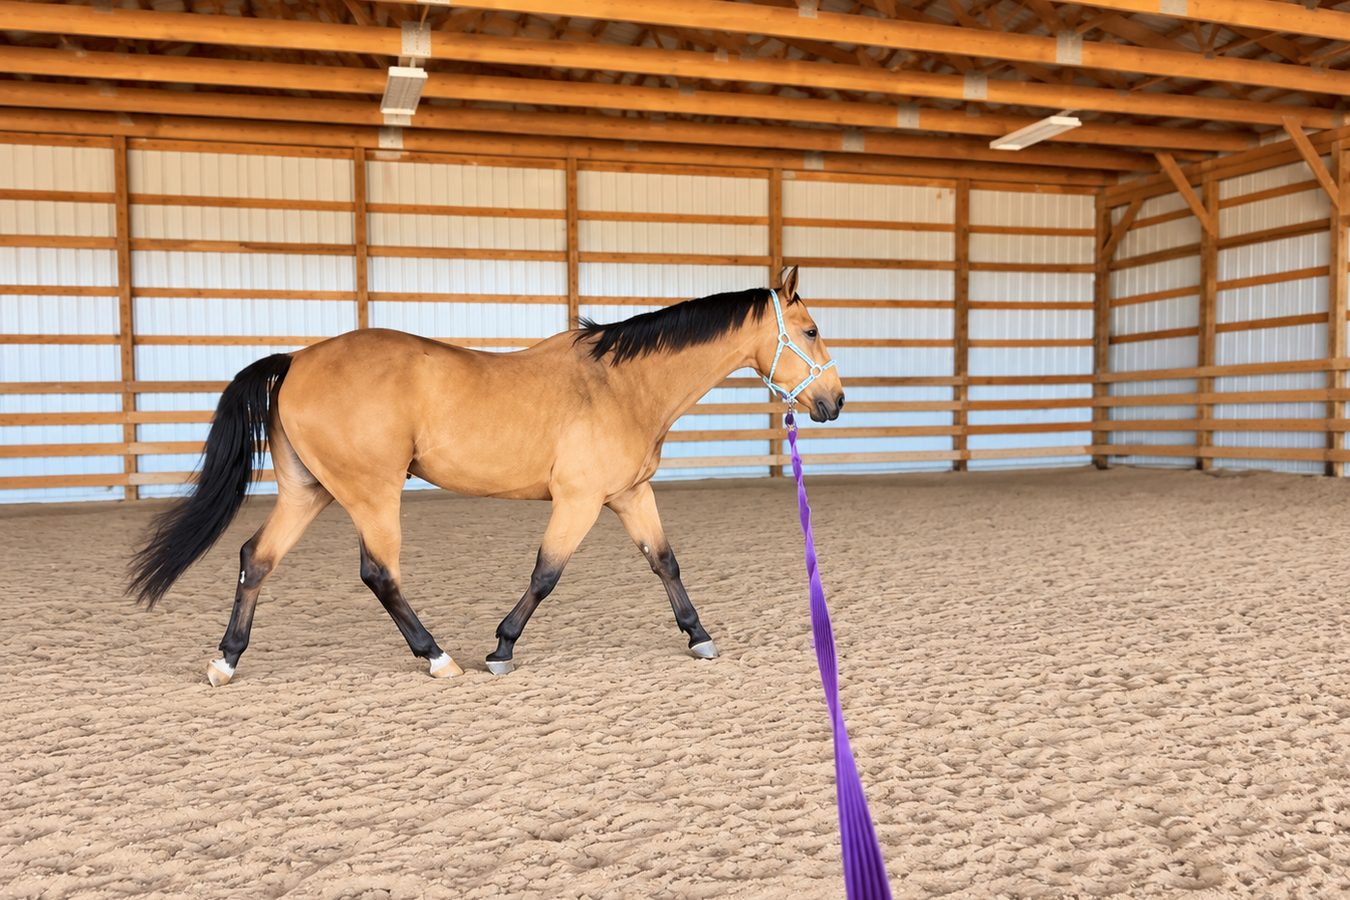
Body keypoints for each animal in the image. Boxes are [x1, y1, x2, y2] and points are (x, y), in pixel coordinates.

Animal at [128, 266, 845, 686]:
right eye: (810, 330)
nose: (834, 401)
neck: (619, 384)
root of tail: (298, 360)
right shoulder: (579, 500)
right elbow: (547, 574)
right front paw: (501, 650)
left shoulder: (628, 494)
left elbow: (664, 562)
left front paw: (699, 637)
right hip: (371, 494)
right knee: (378, 573)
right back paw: (437, 657)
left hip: (310, 492)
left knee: (256, 558)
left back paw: (226, 660)